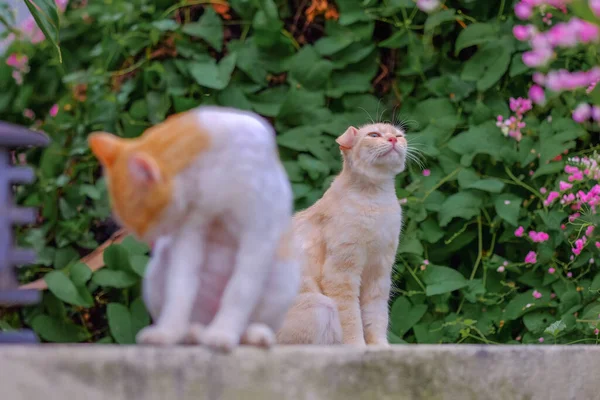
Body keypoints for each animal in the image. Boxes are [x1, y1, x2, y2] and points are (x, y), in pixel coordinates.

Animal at [89, 105, 300, 350]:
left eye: (143, 220)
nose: (144, 239)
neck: (210, 174)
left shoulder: (258, 236)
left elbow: (239, 291)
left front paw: (223, 333)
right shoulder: (189, 235)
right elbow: (180, 289)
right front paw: (167, 332)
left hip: (282, 278)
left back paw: (251, 335)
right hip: (156, 272)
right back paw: (190, 333)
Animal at [278, 123, 408, 346]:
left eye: (398, 136)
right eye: (374, 135)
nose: (392, 140)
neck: (377, 198)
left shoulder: (379, 273)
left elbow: (377, 317)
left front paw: (379, 347)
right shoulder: (341, 273)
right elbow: (351, 319)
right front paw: (357, 346)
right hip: (322, 306)